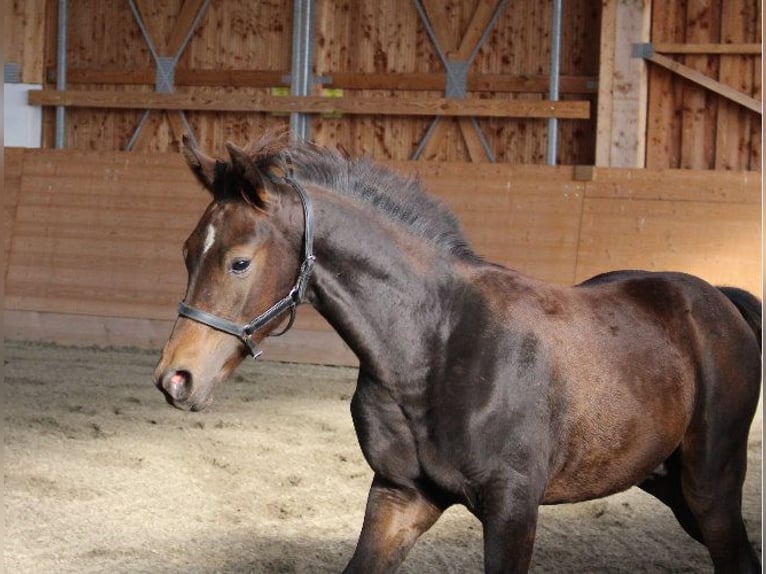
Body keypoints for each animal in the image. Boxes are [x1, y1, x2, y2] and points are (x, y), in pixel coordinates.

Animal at [153, 133, 762, 573]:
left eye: (239, 262)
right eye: (186, 251)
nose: (176, 379)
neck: (434, 348)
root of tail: (718, 300)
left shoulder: (512, 508)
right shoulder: (401, 497)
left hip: (709, 486)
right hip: (667, 482)